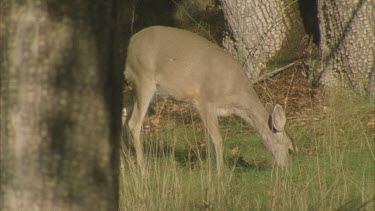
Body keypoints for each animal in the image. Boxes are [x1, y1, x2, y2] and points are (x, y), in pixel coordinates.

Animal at [125, 25, 296, 172]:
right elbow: (217, 139)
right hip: (144, 78)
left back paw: (125, 160)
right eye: (290, 150)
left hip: (140, 90)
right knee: (134, 123)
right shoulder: (205, 101)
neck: (234, 95)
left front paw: (213, 170)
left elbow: (210, 139)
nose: (287, 170)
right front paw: (220, 173)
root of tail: (130, 43)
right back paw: (143, 169)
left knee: (124, 114)